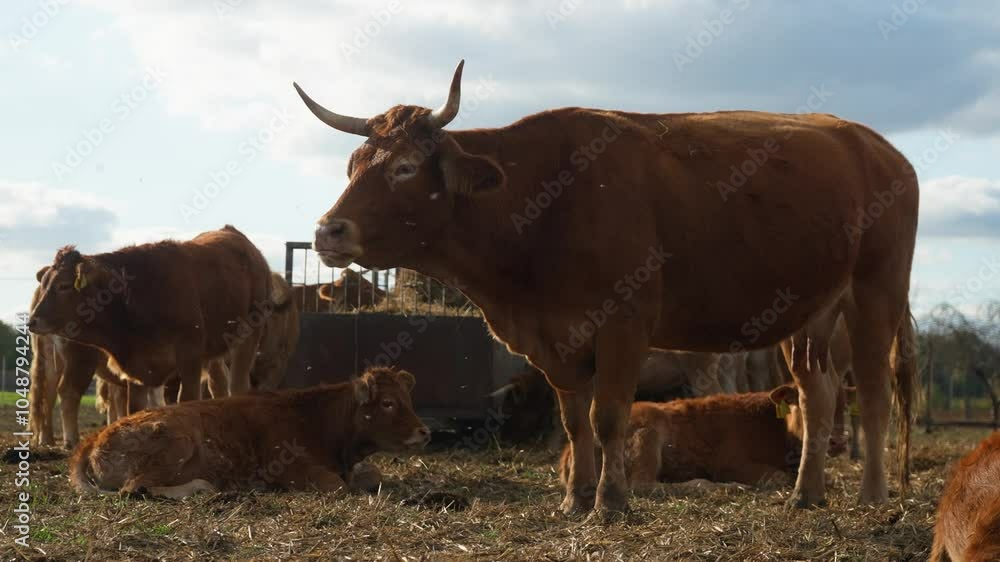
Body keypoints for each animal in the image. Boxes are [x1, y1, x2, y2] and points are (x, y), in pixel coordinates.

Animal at [28, 225, 271, 403]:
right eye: (45, 284)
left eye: (63, 286)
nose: (32, 321)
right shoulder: (138, 371)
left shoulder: (190, 359)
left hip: (249, 336)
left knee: (237, 386)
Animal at [70, 367, 430, 497]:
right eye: (387, 403)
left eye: (409, 399)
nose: (424, 432)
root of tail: (92, 439)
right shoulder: (290, 468)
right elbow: (338, 486)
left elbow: (374, 476)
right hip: (178, 442)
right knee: (135, 488)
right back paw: (203, 487)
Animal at [559, 385, 805, 489]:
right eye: (801, 404)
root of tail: (567, 453)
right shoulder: (728, 462)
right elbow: (778, 477)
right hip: (647, 434)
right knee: (642, 485)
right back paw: (717, 486)